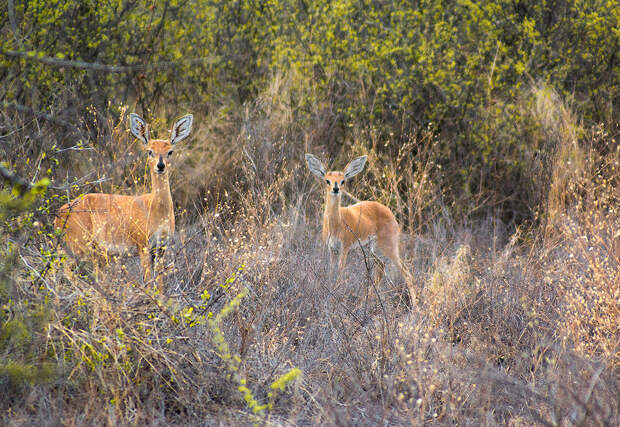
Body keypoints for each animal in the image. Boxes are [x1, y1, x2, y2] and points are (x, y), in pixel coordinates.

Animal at [54, 113, 193, 290]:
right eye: (150, 151)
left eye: (170, 151)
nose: (160, 166)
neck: (156, 210)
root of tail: (58, 213)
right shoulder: (143, 245)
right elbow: (149, 282)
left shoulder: (162, 246)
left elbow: (160, 284)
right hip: (78, 246)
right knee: (64, 271)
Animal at [302, 155, 414, 300]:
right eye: (327, 180)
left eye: (342, 181)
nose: (335, 189)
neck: (336, 223)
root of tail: (390, 213)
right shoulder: (332, 248)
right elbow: (331, 270)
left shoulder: (344, 247)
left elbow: (340, 271)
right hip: (372, 249)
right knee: (381, 268)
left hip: (389, 247)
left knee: (406, 272)